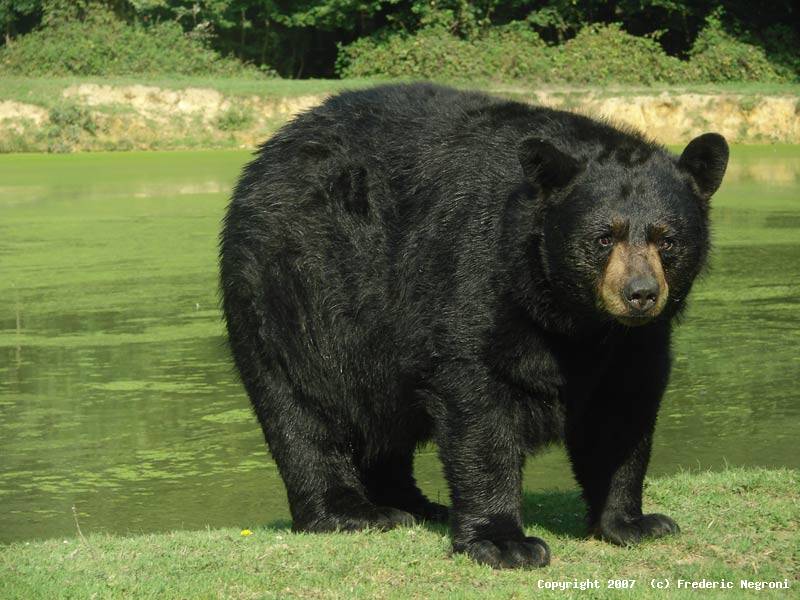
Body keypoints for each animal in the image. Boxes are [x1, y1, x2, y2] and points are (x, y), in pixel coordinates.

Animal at [219, 83, 724, 568]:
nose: (640, 293)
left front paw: (633, 522)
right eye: (603, 237)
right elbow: (479, 404)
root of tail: (266, 155)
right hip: (289, 294)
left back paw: (418, 505)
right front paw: (504, 543)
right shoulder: (474, 272)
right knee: (301, 406)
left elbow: (622, 414)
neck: (573, 317)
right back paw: (351, 512)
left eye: (667, 239)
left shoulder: (634, 342)